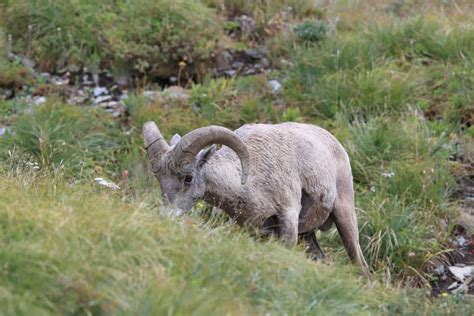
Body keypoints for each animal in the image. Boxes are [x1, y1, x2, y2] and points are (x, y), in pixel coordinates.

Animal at [143, 122, 370, 276]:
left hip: (344, 216)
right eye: (160, 178)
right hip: (308, 235)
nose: (168, 216)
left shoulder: (287, 217)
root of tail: (335, 144)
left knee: (361, 264)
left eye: (188, 177)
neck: (251, 181)